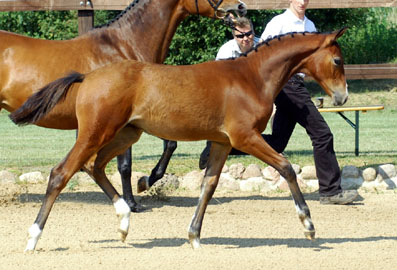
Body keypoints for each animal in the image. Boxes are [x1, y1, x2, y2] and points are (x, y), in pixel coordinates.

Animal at [0, 0, 246, 212]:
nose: (241, 7)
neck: (125, 45)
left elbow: (168, 145)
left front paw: (143, 185)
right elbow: (127, 164)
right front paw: (136, 196)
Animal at [10, 28, 346, 250]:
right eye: (337, 61)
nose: (342, 97)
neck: (250, 77)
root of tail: (87, 76)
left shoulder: (223, 142)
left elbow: (209, 186)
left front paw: (194, 236)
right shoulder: (245, 137)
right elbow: (286, 167)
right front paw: (308, 224)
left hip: (125, 133)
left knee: (94, 166)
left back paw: (124, 221)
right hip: (96, 132)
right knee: (62, 172)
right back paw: (33, 237)